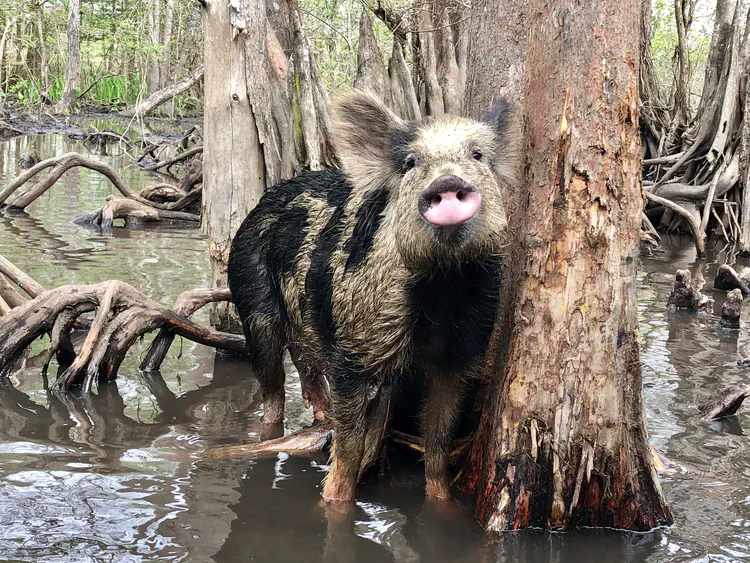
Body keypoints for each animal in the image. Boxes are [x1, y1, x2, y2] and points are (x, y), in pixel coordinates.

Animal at [229, 91, 516, 502]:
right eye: (410, 163)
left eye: (477, 155)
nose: (447, 180)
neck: (442, 291)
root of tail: (261, 203)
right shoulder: (354, 351)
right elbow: (350, 448)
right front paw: (333, 500)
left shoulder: (462, 356)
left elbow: (438, 442)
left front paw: (442, 500)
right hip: (251, 297)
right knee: (272, 389)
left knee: (304, 363)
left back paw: (320, 415)